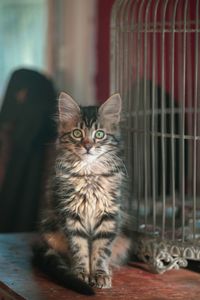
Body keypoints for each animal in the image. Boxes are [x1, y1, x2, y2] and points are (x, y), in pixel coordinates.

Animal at [32, 93, 133, 296]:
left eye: (99, 134)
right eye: (77, 133)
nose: (88, 146)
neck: (89, 174)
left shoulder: (109, 215)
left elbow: (101, 250)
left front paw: (100, 274)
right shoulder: (71, 215)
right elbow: (79, 248)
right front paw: (81, 274)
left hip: (124, 240)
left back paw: (109, 269)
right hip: (50, 232)